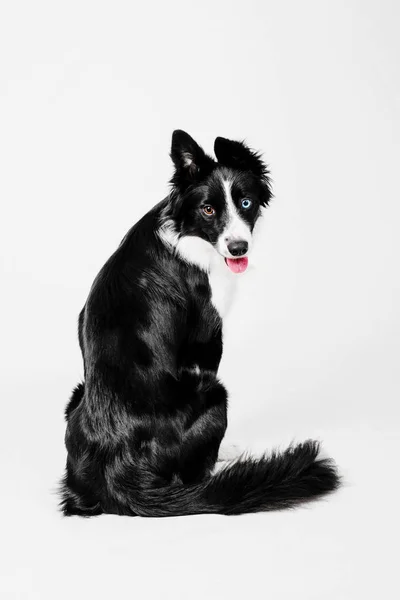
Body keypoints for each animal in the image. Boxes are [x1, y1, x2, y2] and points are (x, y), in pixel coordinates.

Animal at [60, 130, 340, 516]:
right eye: (208, 209)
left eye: (246, 203)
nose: (238, 248)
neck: (189, 233)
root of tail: (119, 471)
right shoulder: (208, 337)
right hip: (215, 394)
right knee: (193, 476)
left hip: (76, 396)